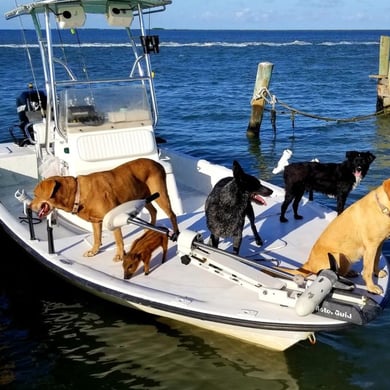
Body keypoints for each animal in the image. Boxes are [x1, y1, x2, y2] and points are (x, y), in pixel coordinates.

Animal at [29, 158, 180, 262]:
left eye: (36, 194)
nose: (29, 207)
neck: (78, 193)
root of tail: (157, 163)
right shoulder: (95, 221)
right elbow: (97, 238)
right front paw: (94, 251)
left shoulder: (114, 218)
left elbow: (118, 240)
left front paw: (119, 255)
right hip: (144, 195)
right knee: (154, 211)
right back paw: (148, 230)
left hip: (160, 194)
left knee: (172, 214)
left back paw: (176, 233)